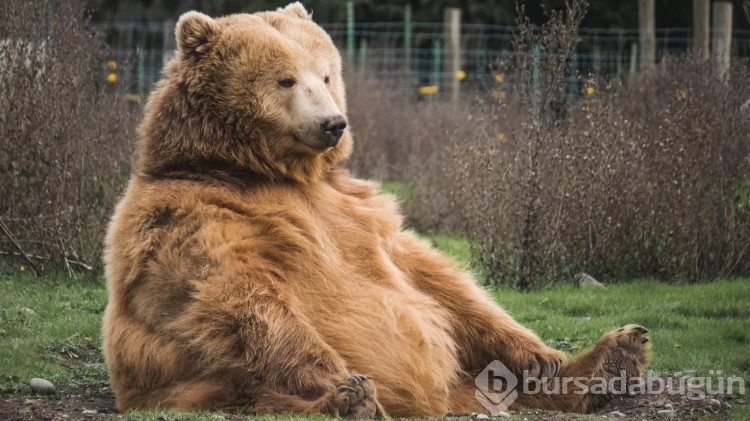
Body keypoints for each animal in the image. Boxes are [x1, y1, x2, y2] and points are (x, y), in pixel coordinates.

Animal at [103, 3, 656, 416]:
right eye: (285, 80)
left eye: (326, 74)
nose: (333, 123)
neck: (265, 171)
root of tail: (443, 400)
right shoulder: (196, 216)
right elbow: (240, 297)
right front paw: (342, 382)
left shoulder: (356, 209)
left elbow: (433, 276)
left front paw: (539, 355)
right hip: (192, 382)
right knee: (251, 390)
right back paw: (349, 401)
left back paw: (612, 359)